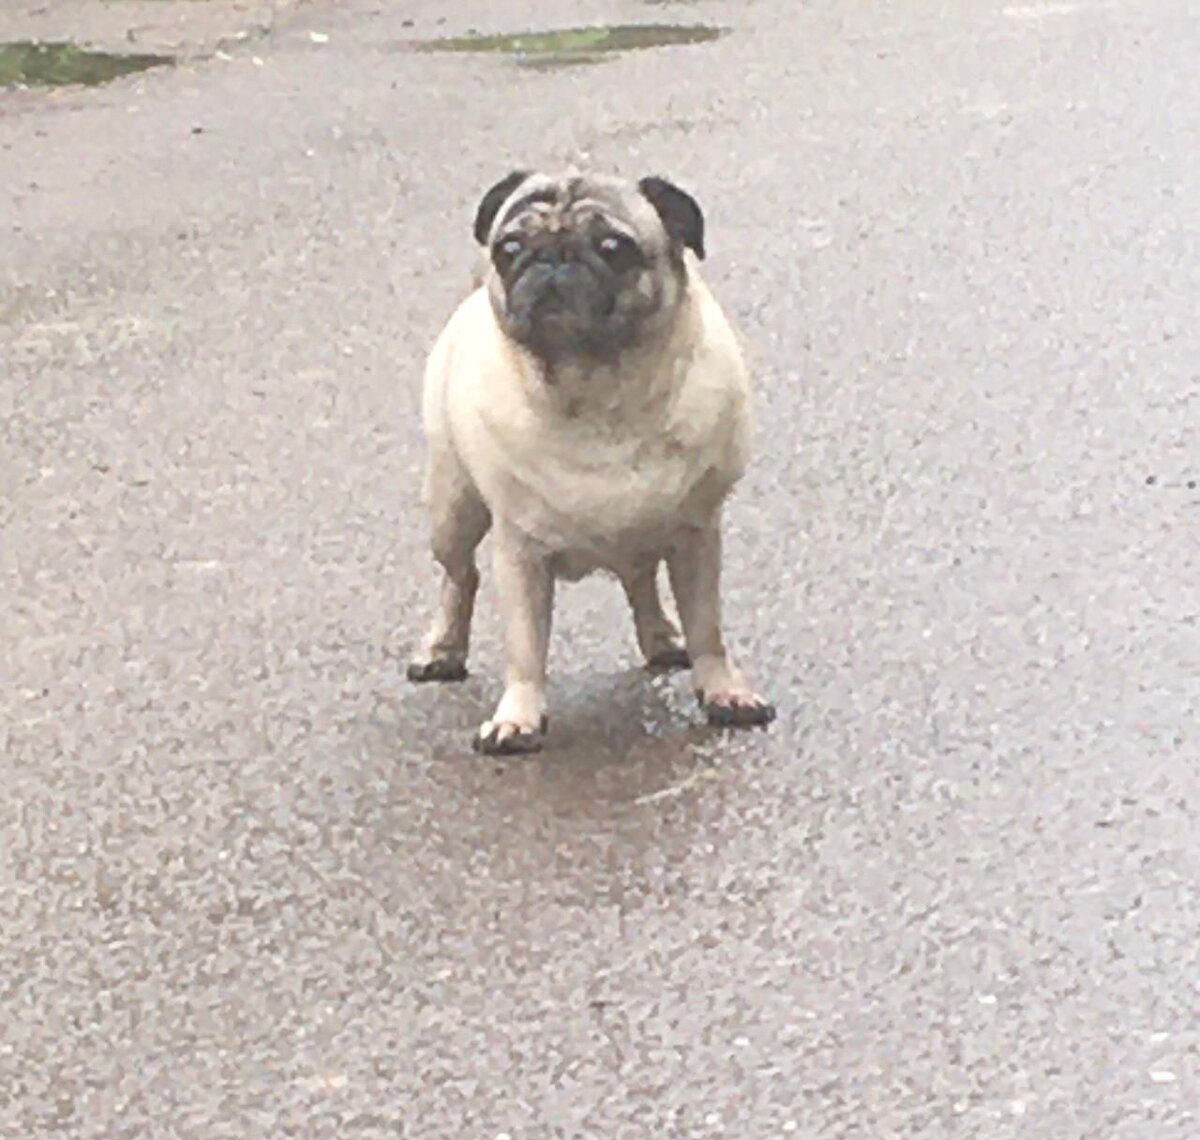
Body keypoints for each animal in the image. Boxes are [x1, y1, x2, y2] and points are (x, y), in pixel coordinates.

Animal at [408, 169, 772, 753]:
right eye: (510, 248)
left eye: (613, 248)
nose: (552, 256)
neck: (598, 397)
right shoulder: (520, 553)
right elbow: (525, 645)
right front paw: (518, 717)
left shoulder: (697, 535)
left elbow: (706, 625)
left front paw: (723, 691)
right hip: (453, 508)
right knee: (459, 578)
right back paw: (442, 650)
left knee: (640, 579)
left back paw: (661, 637)